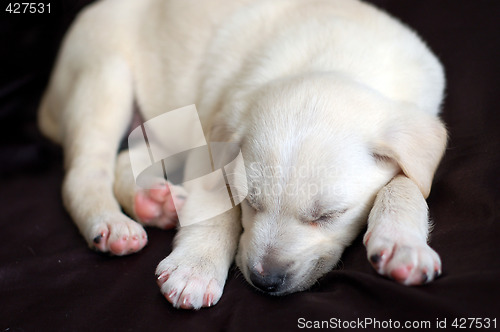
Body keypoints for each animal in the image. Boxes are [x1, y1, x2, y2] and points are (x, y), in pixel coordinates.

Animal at [38, 0, 446, 310]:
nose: (266, 281)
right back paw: (112, 225)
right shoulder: (211, 144)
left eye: (329, 216)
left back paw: (155, 202)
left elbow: (406, 186)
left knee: (127, 160)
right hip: (102, 76)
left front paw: (402, 244)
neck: (336, 59)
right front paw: (195, 269)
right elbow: (215, 209)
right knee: (85, 172)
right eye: (249, 202)